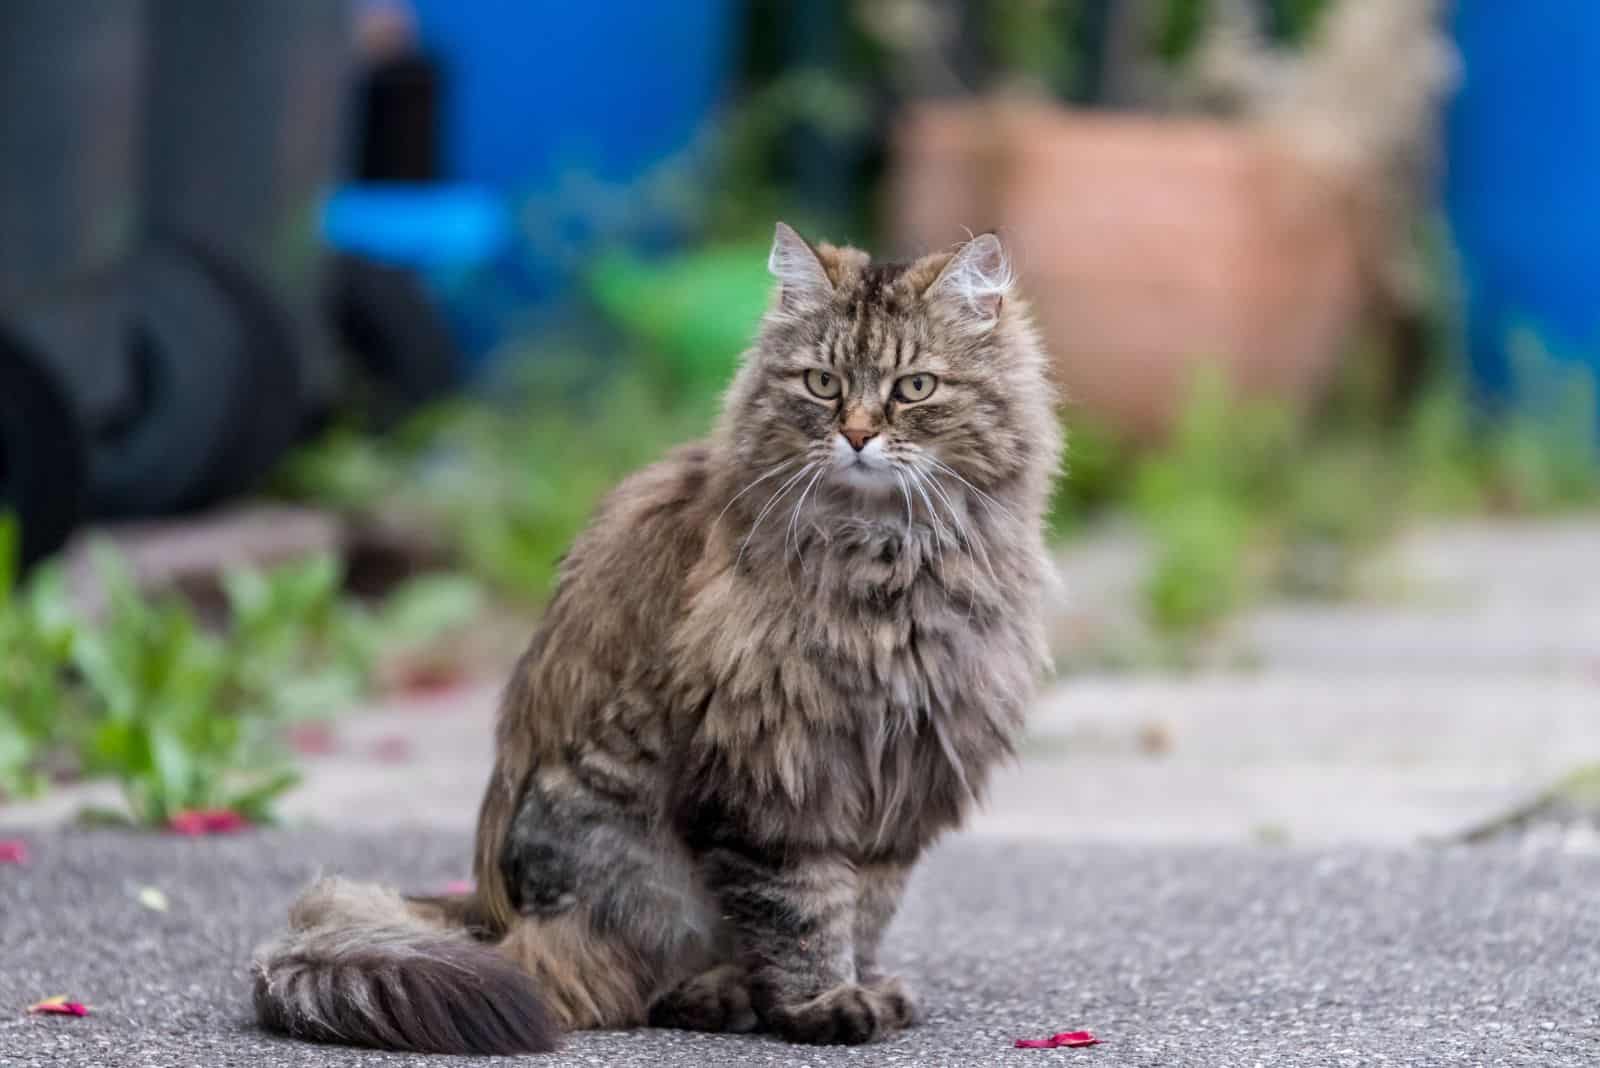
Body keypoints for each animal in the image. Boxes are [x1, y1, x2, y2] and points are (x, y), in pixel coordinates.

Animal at [252, 220, 1062, 1055]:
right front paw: (822, 1004)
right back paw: (720, 996)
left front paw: (862, 985)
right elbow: (804, 911)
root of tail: (486, 915)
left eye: (914, 388)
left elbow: (865, 908)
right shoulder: (773, 777)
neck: (888, 562)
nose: (858, 435)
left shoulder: (899, 780)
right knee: (612, 980)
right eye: (823, 384)